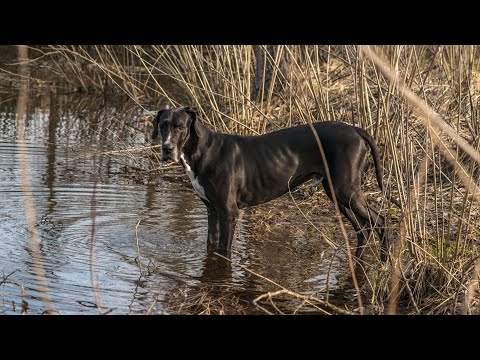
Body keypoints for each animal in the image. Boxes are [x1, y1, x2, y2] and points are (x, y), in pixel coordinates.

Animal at [152, 105, 392, 260]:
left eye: (180, 127)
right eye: (163, 125)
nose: (166, 148)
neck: (202, 150)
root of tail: (355, 129)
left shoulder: (229, 212)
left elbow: (224, 250)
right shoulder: (212, 209)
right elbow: (211, 244)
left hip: (346, 190)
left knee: (381, 221)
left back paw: (384, 262)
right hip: (337, 193)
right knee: (363, 229)